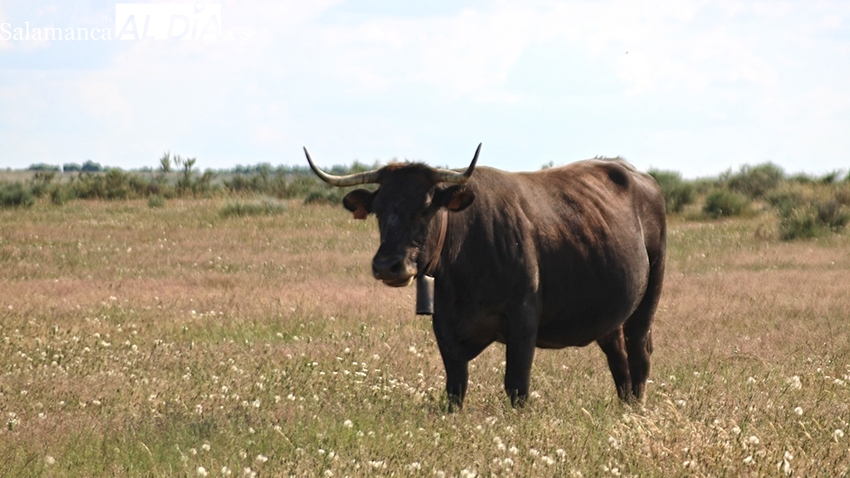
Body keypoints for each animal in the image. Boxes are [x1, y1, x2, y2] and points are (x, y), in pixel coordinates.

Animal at [304, 145, 664, 408]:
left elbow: (517, 388)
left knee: (639, 354)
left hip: (649, 298)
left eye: (425, 208)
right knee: (618, 357)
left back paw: (637, 411)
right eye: (378, 210)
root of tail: (637, 174)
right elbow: (455, 389)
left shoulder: (523, 322)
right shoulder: (445, 329)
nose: (387, 265)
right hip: (612, 314)